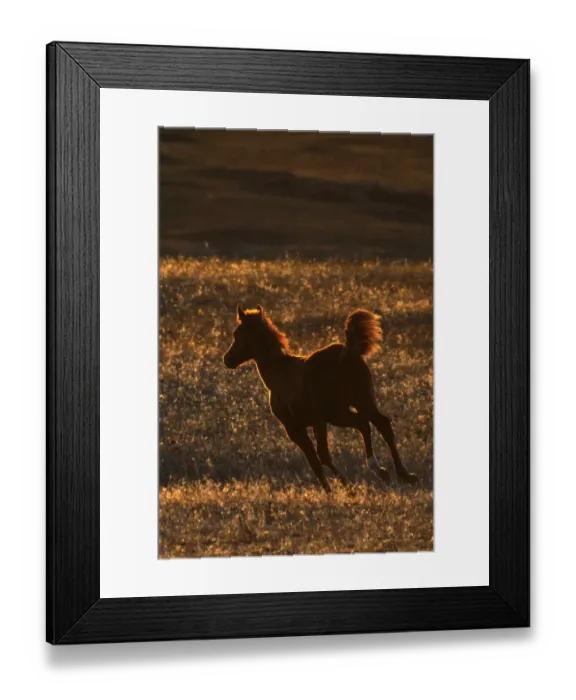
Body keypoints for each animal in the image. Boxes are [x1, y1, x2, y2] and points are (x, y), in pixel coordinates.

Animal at [223, 304, 418, 492]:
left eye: (236, 334)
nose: (227, 359)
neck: (278, 374)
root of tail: (348, 352)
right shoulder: (311, 423)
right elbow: (316, 460)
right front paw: (336, 488)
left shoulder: (297, 427)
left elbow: (318, 459)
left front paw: (341, 488)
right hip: (360, 403)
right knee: (379, 424)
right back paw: (402, 474)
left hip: (337, 412)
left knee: (363, 425)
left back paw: (379, 470)